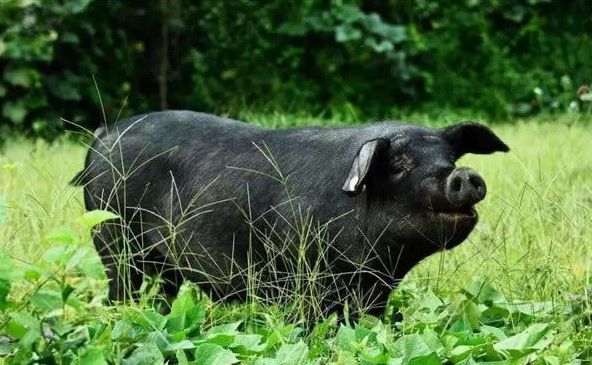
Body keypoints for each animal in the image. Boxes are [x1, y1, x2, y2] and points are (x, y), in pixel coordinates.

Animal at [71, 111, 508, 316]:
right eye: (400, 163)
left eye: (450, 158)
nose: (464, 175)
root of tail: (105, 134)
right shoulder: (302, 277)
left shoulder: (374, 289)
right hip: (113, 238)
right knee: (120, 287)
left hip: (163, 262)